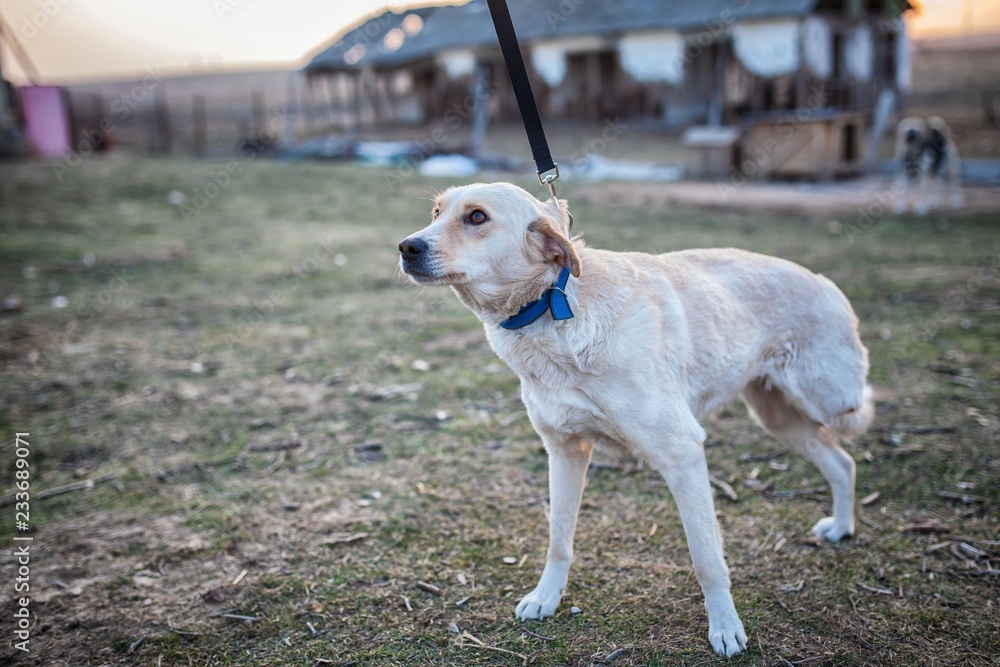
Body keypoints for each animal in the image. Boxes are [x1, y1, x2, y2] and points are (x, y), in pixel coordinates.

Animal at [398, 185, 876, 660]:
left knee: (855, 423)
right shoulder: (565, 450)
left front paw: (725, 627)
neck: (553, 305)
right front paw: (546, 598)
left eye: (477, 217)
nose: (406, 247)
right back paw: (841, 528)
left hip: (829, 397)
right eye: (437, 212)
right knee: (842, 462)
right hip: (777, 416)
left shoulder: (682, 453)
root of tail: (822, 280)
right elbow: (559, 539)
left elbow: (706, 558)